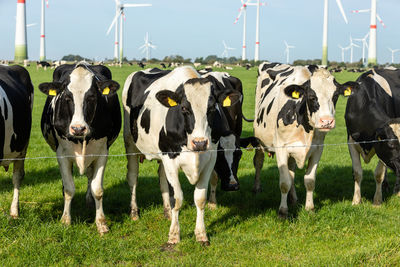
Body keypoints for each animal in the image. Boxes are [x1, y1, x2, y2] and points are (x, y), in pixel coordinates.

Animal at [38, 61, 122, 236]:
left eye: (92, 97)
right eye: (67, 97)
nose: (78, 129)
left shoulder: (102, 153)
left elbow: (98, 189)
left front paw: (101, 223)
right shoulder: (62, 154)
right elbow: (69, 189)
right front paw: (65, 220)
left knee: (90, 177)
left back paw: (89, 201)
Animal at [122, 66, 241, 245]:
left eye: (212, 108)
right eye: (184, 108)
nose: (200, 143)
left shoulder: (209, 159)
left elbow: (200, 199)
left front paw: (201, 234)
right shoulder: (170, 159)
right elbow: (177, 199)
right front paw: (174, 235)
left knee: (161, 177)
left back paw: (167, 212)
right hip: (130, 142)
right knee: (133, 177)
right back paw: (134, 213)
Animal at [252, 63, 358, 220]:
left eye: (335, 96)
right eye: (312, 96)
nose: (326, 121)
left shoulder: (318, 149)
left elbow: (309, 180)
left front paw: (309, 208)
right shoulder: (281, 148)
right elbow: (284, 182)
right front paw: (282, 212)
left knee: (292, 171)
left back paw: (293, 198)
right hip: (259, 139)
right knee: (259, 161)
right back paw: (257, 188)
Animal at [346, 68, 400, 206]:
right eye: (391, 145)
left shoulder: (379, 146)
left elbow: (379, 174)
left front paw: (377, 201)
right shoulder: (351, 141)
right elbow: (357, 172)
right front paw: (356, 201)